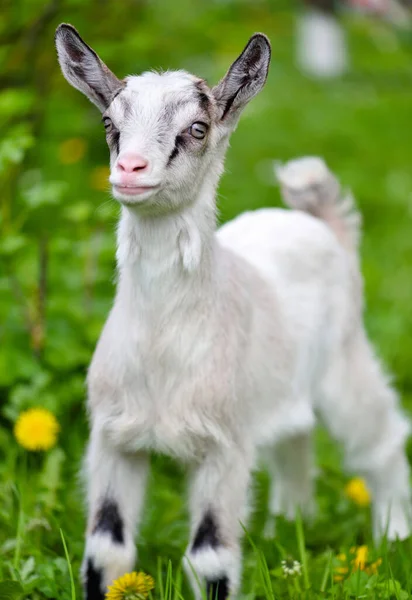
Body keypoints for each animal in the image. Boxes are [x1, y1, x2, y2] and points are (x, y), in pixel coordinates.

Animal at [55, 23, 412, 600]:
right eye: (110, 123)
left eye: (197, 129)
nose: (130, 169)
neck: (163, 348)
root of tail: (322, 225)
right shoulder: (112, 438)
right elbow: (106, 550)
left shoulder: (222, 445)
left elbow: (210, 558)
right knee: (294, 437)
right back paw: (290, 523)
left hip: (345, 360)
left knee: (378, 438)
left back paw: (392, 534)